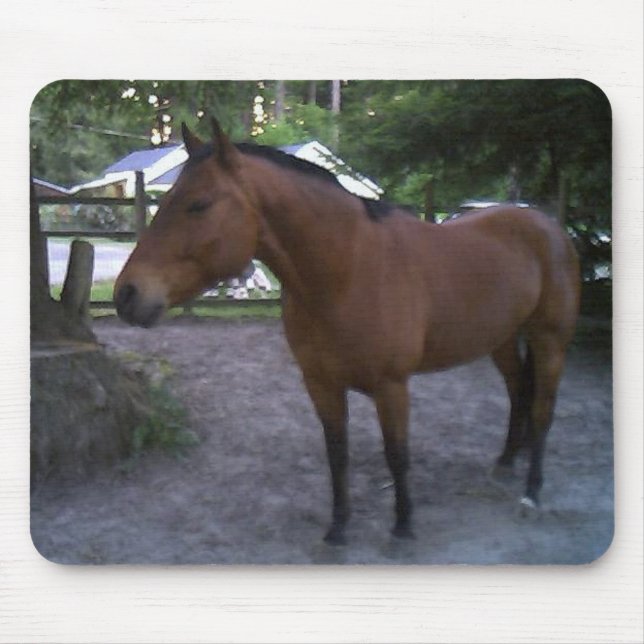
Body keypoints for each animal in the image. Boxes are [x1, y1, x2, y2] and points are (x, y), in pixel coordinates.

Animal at [114, 118, 580, 545]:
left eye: (199, 204)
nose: (126, 295)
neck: (348, 271)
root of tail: (551, 227)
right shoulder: (321, 383)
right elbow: (337, 454)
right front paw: (338, 528)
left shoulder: (392, 386)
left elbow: (397, 455)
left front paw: (403, 527)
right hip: (502, 339)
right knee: (519, 393)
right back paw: (505, 461)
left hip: (550, 341)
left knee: (543, 410)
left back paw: (532, 494)